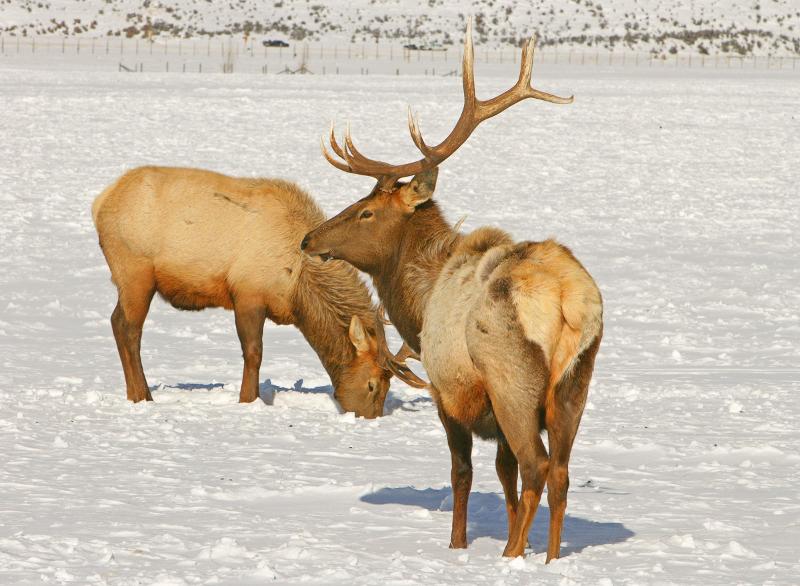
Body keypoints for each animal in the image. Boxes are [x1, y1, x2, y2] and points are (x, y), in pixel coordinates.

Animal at [92, 166, 392, 418]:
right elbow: (254, 352)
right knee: (128, 329)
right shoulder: (248, 293)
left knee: (117, 322)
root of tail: (100, 203)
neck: (297, 290)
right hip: (135, 272)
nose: (371, 418)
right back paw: (142, 396)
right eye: (372, 384)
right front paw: (248, 400)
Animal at [301, 22, 603, 560]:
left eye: (365, 211)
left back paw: (510, 557)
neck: (417, 307)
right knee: (561, 472)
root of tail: (570, 302)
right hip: (575, 385)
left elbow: (463, 473)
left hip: (511, 379)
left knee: (538, 465)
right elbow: (502, 474)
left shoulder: (449, 392)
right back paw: (546, 558)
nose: (309, 239)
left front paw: (458, 545)